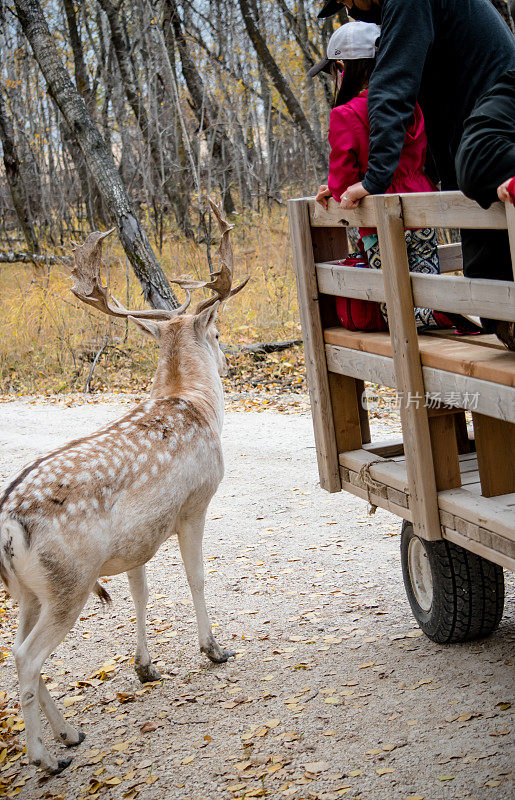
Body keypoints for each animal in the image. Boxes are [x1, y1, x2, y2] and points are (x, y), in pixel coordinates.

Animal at [0, 202, 250, 776]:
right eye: (217, 333)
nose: (229, 361)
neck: (192, 403)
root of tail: (8, 522)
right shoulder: (195, 505)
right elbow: (196, 578)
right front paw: (214, 649)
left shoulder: (138, 538)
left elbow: (140, 591)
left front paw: (145, 666)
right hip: (69, 581)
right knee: (26, 657)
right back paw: (47, 758)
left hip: (28, 590)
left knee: (17, 652)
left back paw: (69, 733)